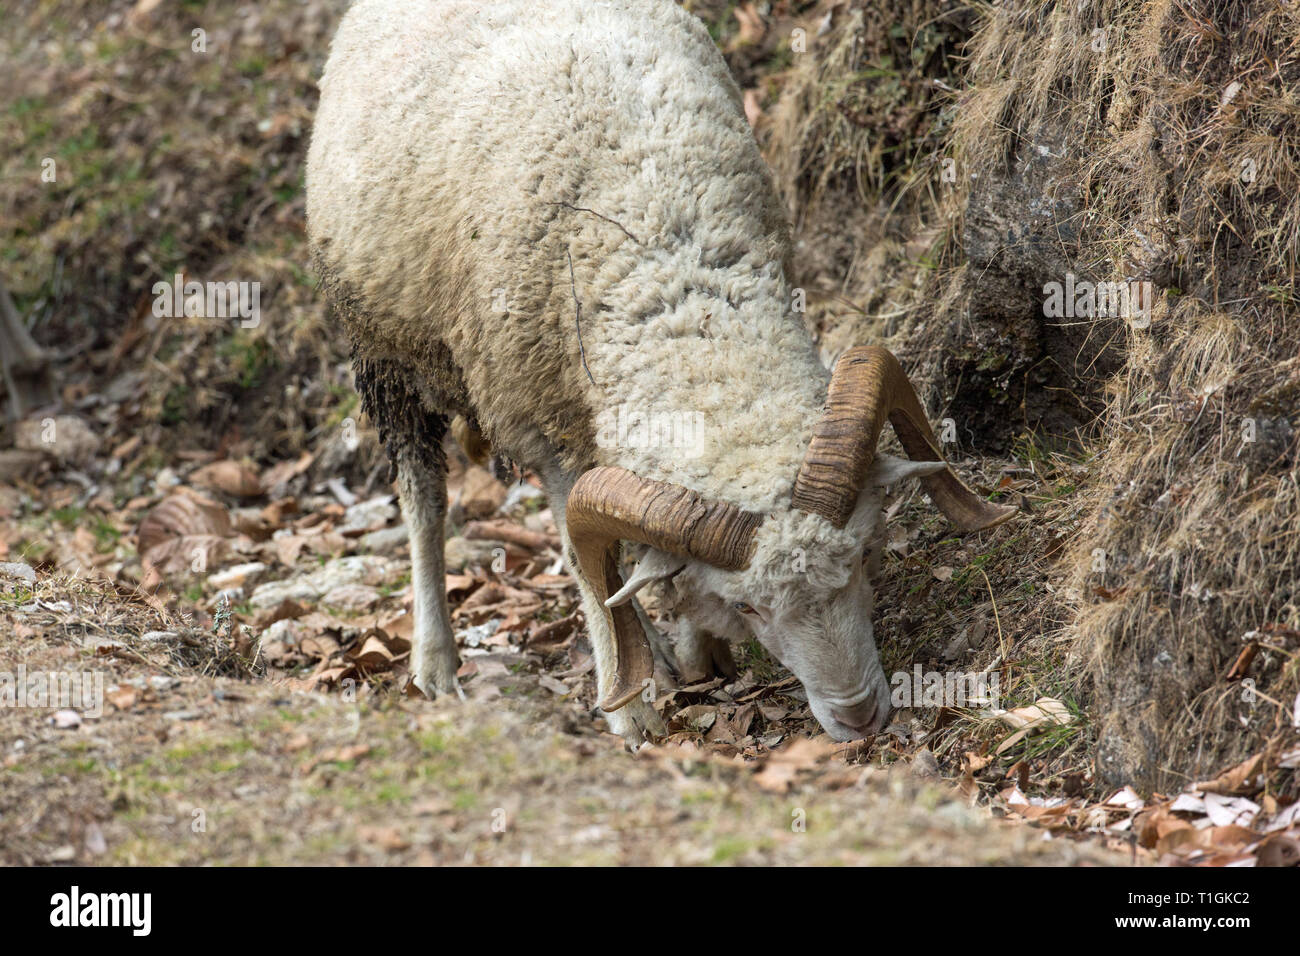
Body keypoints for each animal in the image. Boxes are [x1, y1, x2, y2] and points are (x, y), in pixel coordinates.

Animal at [306, 0, 1013, 743]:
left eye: (867, 558)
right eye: (751, 607)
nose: (861, 715)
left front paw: (695, 653)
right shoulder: (549, 429)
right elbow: (590, 567)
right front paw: (630, 704)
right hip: (382, 348)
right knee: (424, 499)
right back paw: (436, 664)